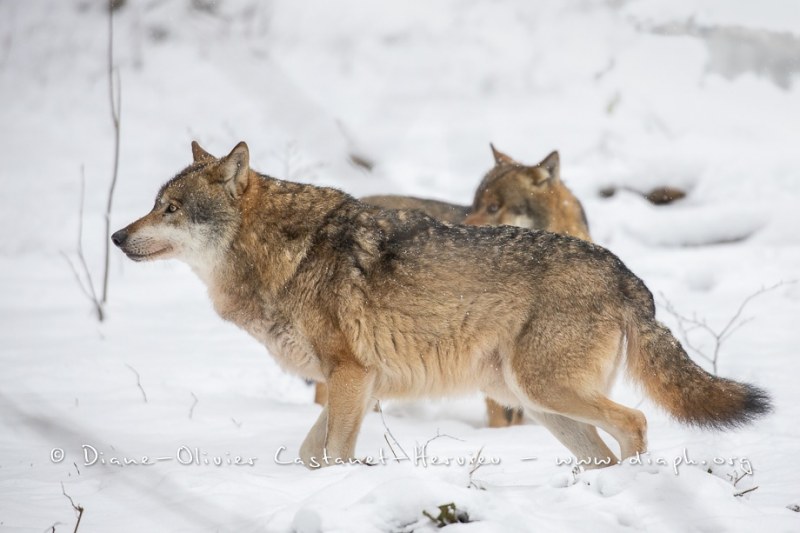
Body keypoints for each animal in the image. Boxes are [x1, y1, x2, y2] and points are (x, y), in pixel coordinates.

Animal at [111, 142, 768, 470]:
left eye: (171, 208)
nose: (116, 236)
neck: (286, 253)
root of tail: (628, 274)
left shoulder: (351, 375)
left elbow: (336, 454)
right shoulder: (357, 382)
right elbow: (309, 452)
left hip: (544, 391)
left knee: (634, 422)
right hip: (535, 399)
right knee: (601, 452)